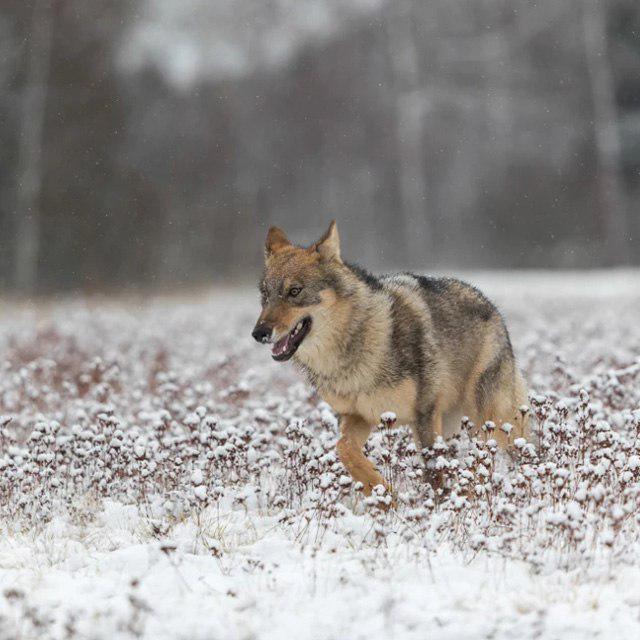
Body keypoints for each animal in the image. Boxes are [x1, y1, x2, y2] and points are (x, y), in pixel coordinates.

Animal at [251, 222, 528, 498]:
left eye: (294, 291)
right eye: (265, 295)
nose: (259, 333)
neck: (351, 354)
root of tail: (490, 305)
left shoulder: (424, 414)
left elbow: (433, 472)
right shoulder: (358, 416)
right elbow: (344, 450)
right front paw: (382, 492)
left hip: (492, 422)